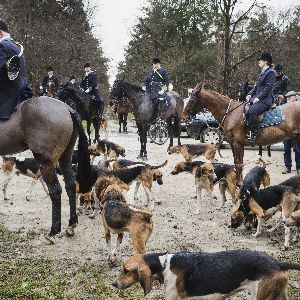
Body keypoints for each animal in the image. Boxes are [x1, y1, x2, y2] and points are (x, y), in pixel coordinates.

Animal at [0, 97, 94, 245]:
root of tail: (68, 108)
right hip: (65, 156)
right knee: (70, 185)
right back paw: (71, 225)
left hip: (46, 161)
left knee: (55, 190)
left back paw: (53, 232)